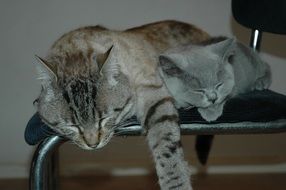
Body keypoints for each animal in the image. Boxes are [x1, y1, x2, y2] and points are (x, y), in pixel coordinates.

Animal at [34, 20, 210, 189]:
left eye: (104, 119)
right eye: (73, 126)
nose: (93, 145)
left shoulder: (153, 92)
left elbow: (166, 145)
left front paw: (176, 183)